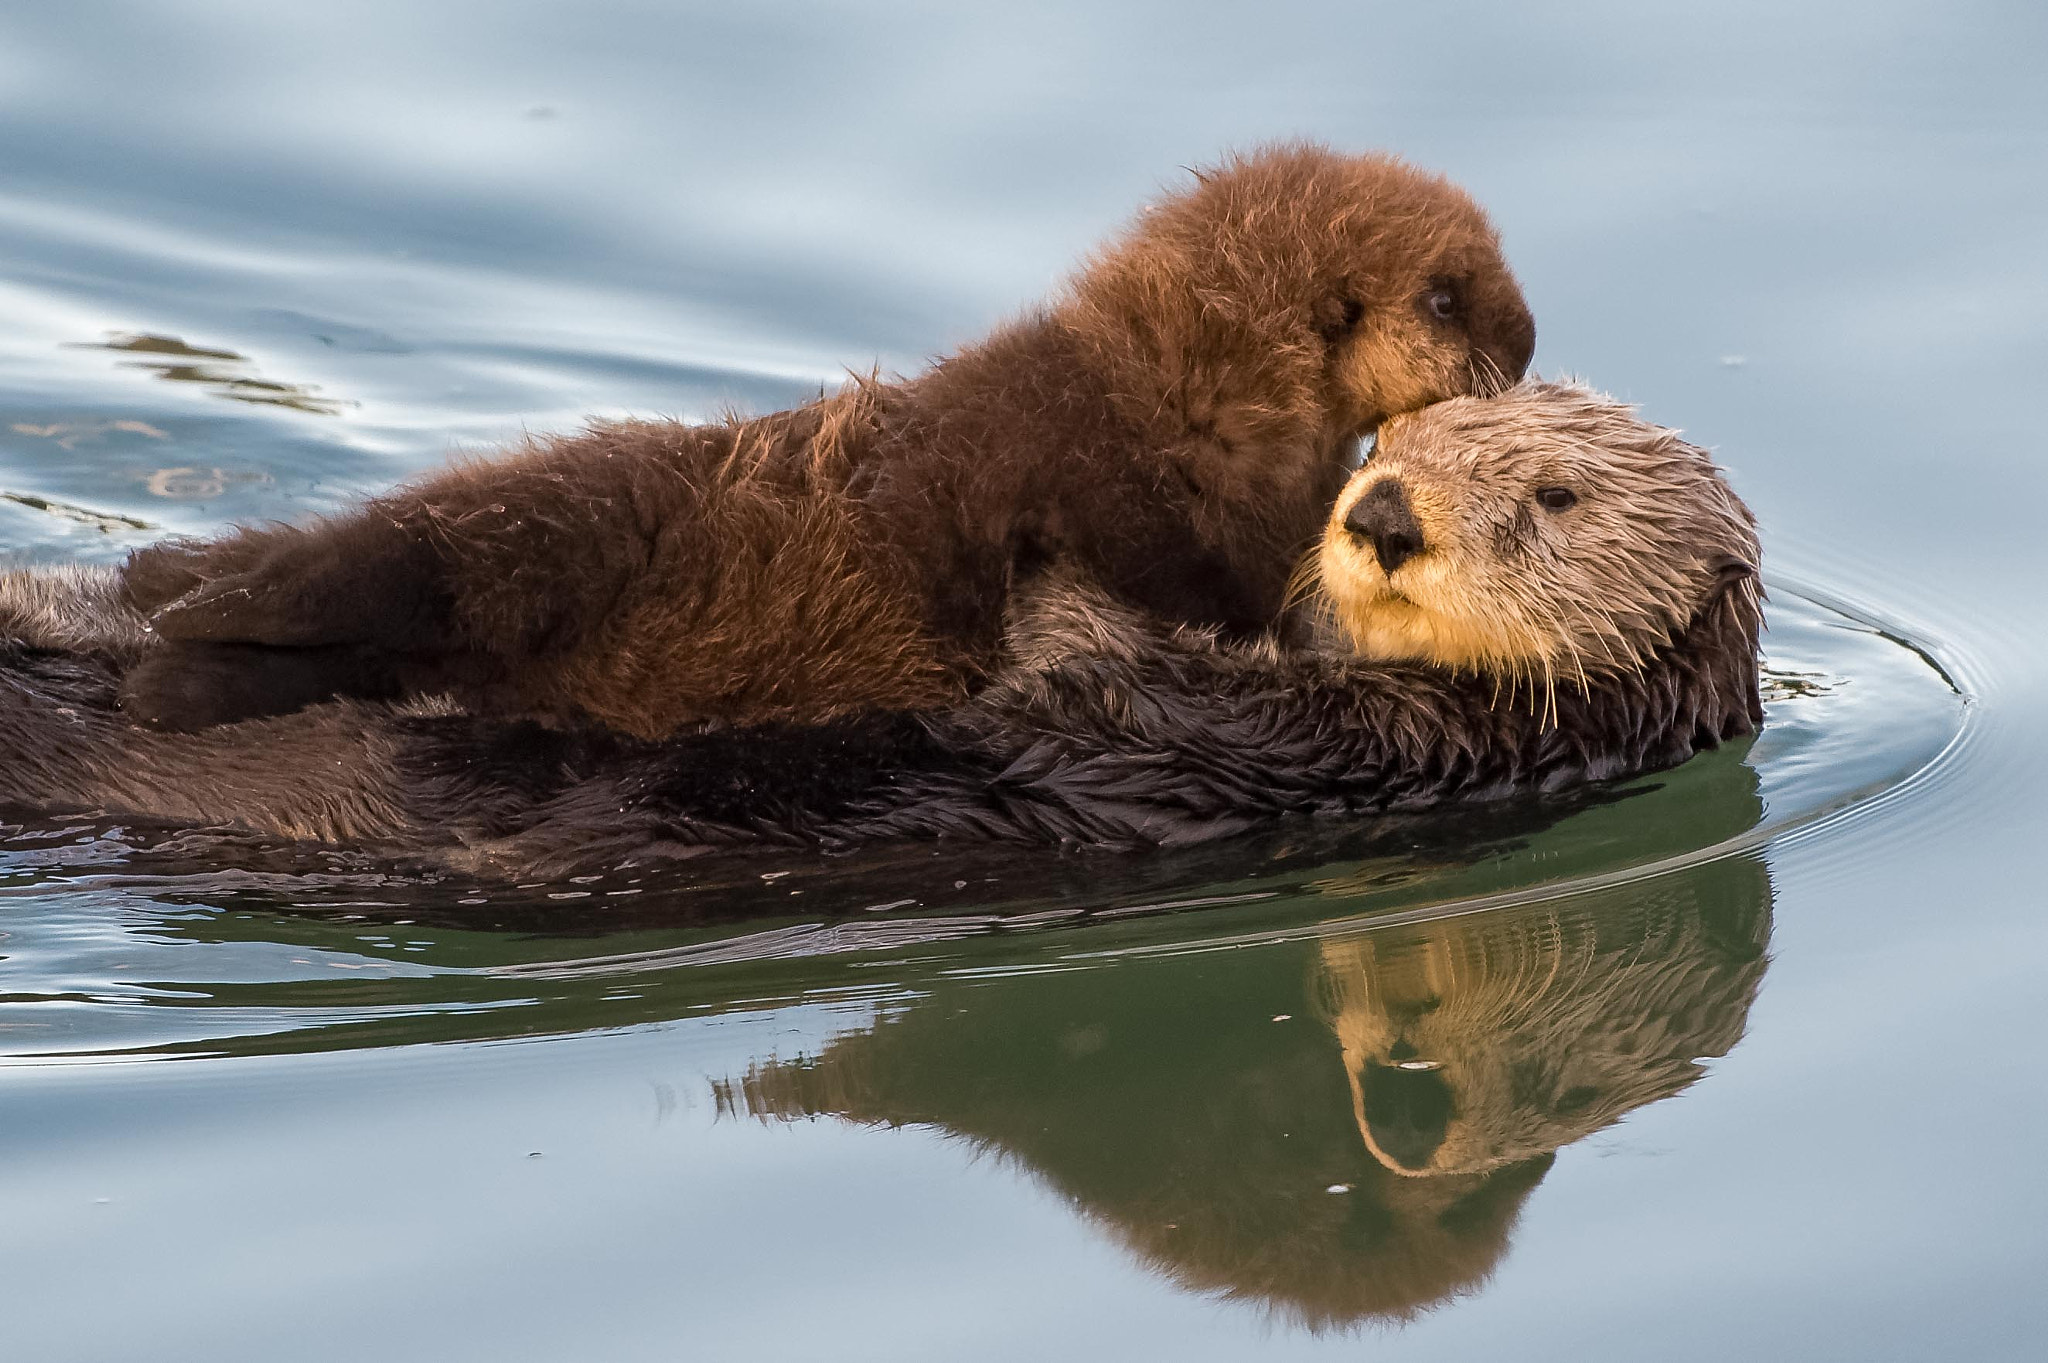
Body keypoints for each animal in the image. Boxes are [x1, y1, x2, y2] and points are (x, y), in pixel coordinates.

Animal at [103, 140, 1531, 732]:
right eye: (1446, 296)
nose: (1521, 342)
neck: (1190, 394)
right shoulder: (1141, 498)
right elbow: (1188, 584)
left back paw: (165, 590)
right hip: (549, 533)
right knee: (384, 582)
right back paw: (189, 644)